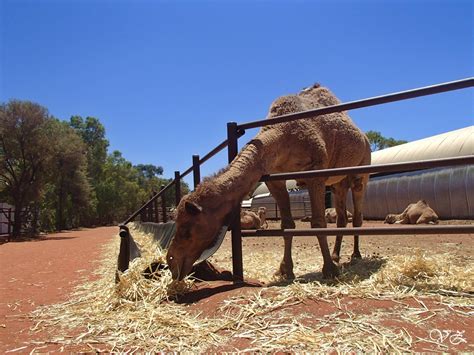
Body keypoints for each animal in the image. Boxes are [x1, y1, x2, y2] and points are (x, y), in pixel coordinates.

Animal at [166, 82, 370, 280]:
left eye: (187, 228)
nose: (171, 261)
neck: (284, 134)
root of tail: (364, 138)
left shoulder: (315, 173)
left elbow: (318, 223)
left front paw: (329, 270)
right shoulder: (274, 179)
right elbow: (287, 225)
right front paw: (285, 270)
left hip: (361, 170)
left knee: (357, 213)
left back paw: (355, 255)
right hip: (338, 182)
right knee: (342, 216)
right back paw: (336, 256)